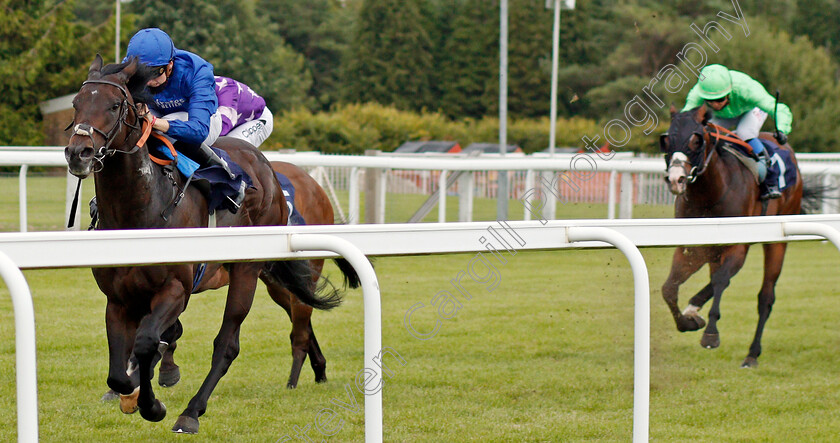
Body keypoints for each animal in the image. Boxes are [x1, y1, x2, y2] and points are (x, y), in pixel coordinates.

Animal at [65, 54, 348, 434]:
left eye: (113, 105)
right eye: (76, 104)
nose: (78, 152)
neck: (142, 208)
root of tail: (272, 174)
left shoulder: (175, 288)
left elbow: (146, 341)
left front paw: (153, 405)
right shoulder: (118, 298)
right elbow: (119, 371)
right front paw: (134, 392)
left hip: (247, 273)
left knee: (230, 344)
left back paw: (192, 412)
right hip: (273, 281)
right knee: (298, 315)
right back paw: (317, 370)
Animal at [660, 104, 816, 368]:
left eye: (696, 140)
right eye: (667, 140)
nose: (676, 180)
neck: (711, 192)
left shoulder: (737, 245)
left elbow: (722, 280)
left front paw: (710, 333)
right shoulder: (692, 245)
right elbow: (669, 288)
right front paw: (688, 321)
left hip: (776, 241)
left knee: (765, 297)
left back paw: (752, 354)